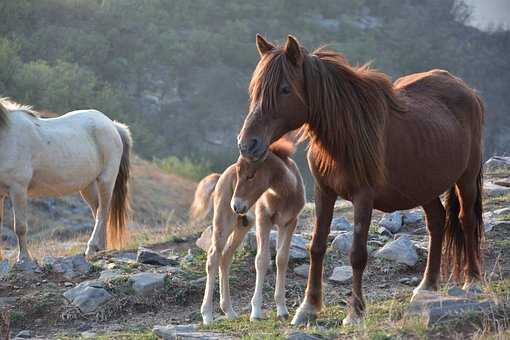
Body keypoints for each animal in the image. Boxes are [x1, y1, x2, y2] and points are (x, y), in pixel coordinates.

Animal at [0, 99, 131, 270]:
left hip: (106, 180)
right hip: (87, 186)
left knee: (102, 212)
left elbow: (20, 227)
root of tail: (113, 125)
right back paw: (100, 248)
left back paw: (91, 248)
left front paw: (24, 259)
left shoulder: (18, 189)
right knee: (98, 210)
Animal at [190, 139, 302, 326]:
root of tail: (220, 176)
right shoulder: (264, 220)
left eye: (251, 175)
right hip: (223, 221)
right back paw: (207, 315)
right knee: (213, 256)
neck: (283, 193)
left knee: (225, 258)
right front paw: (256, 312)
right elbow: (262, 260)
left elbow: (281, 259)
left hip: (242, 225)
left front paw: (282, 310)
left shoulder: (289, 223)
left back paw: (229, 311)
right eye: (239, 174)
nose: (236, 205)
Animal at [237, 35, 484, 326]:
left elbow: (357, 255)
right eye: (254, 88)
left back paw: (472, 281)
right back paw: (427, 285)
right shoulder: (324, 192)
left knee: (466, 220)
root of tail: (467, 90)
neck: (344, 135)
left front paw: (355, 312)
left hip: (466, 178)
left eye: (285, 89)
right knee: (437, 221)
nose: (248, 144)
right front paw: (308, 308)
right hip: (424, 186)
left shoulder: (363, 198)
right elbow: (317, 247)